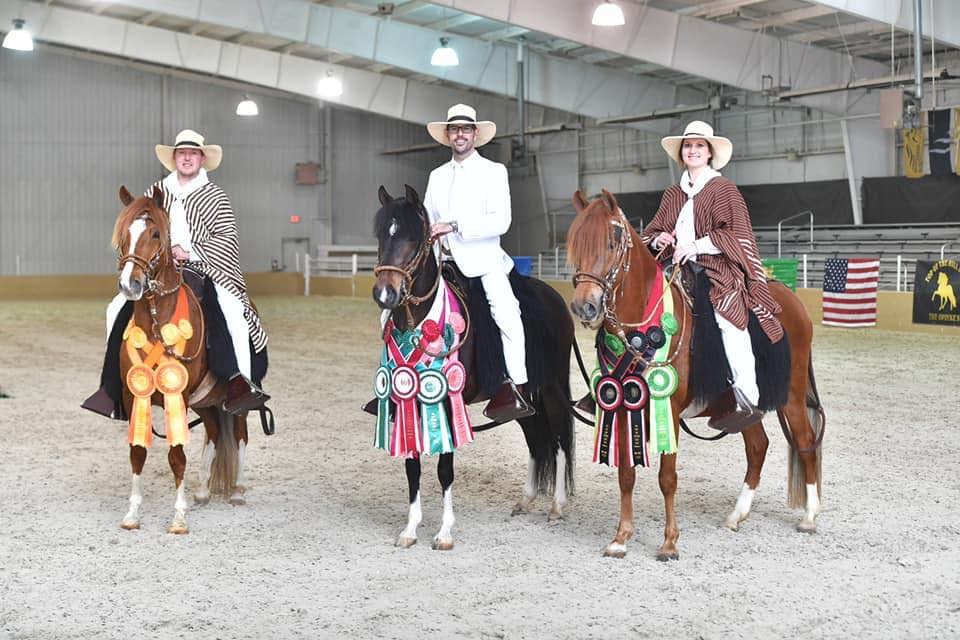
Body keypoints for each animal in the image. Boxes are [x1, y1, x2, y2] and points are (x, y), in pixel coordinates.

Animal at [111, 185, 250, 533]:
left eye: (156, 234)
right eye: (124, 234)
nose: (130, 284)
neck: (156, 321)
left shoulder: (179, 395)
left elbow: (177, 457)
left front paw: (178, 517)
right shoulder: (134, 396)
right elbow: (137, 452)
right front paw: (132, 514)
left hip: (234, 401)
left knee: (239, 433)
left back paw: (238, 491)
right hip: (205, 400)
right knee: (214, 431)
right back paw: (201, 491)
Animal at [371, 185, 576, 550]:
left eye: (414, 238)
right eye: (381, 234)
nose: (385, 294)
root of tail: (554, 298)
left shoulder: (445, 402)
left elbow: (444, 469)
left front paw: (444, 532)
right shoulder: (407, 399)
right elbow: (412, 466)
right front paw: (410, 529)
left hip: (553, 389)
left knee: (560, 439)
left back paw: (556, 506)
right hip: (523, 402)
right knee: (537, 439)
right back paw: (525, 500)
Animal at [567, 189, 825, 560]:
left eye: (612, 241)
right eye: (574, 242)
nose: (585, 306)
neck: (643, 326)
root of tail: (793, 302)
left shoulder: (669, 410)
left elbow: (667, 477)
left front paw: (669, 542)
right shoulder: (622, 406)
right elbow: (626, 475)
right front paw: (621, 538)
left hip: (792, 396)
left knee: (805, 443)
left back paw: (809, 516)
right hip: (745, 408)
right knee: (758, 447)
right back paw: (736, 515)